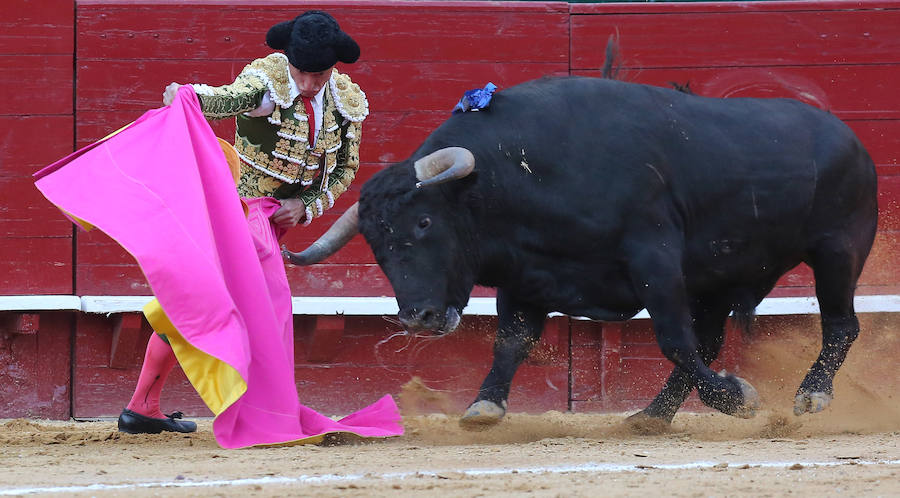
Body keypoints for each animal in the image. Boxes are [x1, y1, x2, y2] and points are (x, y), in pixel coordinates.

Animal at [284, 76, 876, 430]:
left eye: (425, 222)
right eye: (376, 246)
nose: (418, 318)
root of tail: (848, 137)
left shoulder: (655, 260)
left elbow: (670, 338)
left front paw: (741, 399)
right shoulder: (528, 275)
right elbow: (511, 340)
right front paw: (484, 406)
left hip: (838, 251)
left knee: (840, 326)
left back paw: (811, 396)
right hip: (716, 279)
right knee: (709, 341)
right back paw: (652, 415)